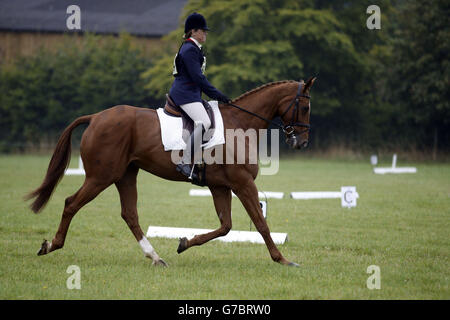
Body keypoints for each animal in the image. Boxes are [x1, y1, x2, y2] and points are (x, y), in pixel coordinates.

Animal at [26, 78, 316, 268]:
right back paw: (51, 245)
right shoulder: (242, 183)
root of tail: (96, 117)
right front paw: (282, 259)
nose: (301, 143)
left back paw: (155, 257)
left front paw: (184, 242)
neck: (240, 123)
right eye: (305, 107)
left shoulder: (220, 186)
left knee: (129, 214)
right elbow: (260, 222)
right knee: (71, 203)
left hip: (125, 175)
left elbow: (225, 226)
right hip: (101, 177)